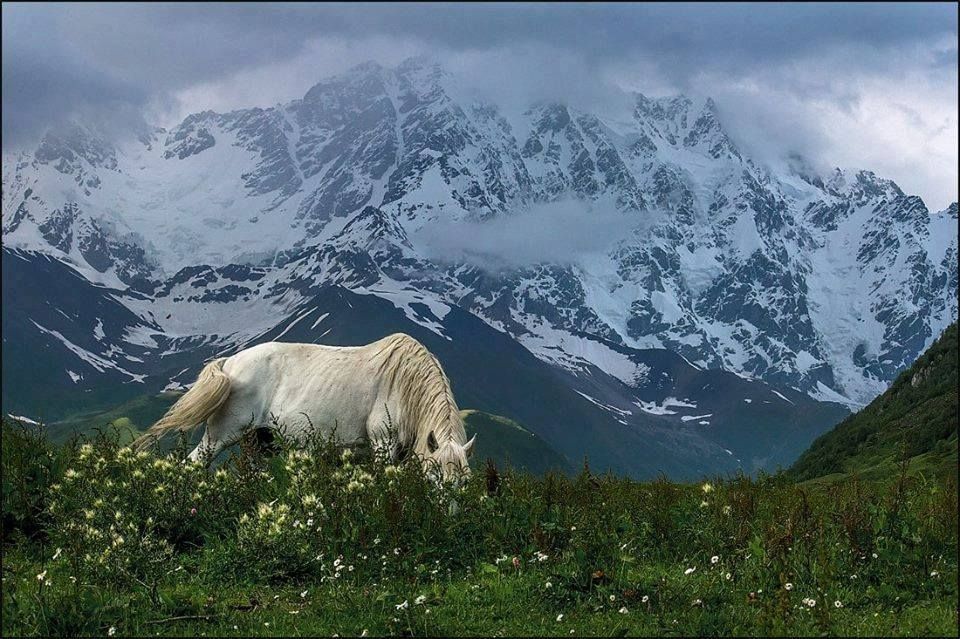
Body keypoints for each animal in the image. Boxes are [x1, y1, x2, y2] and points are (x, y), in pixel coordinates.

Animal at [135, 336, 476, 480]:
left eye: (464, 482)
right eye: (433, 480)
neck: (405, 382)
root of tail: (230, 364)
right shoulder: (383, 443)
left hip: (257, 441)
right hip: (222, 435)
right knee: (192, 463)